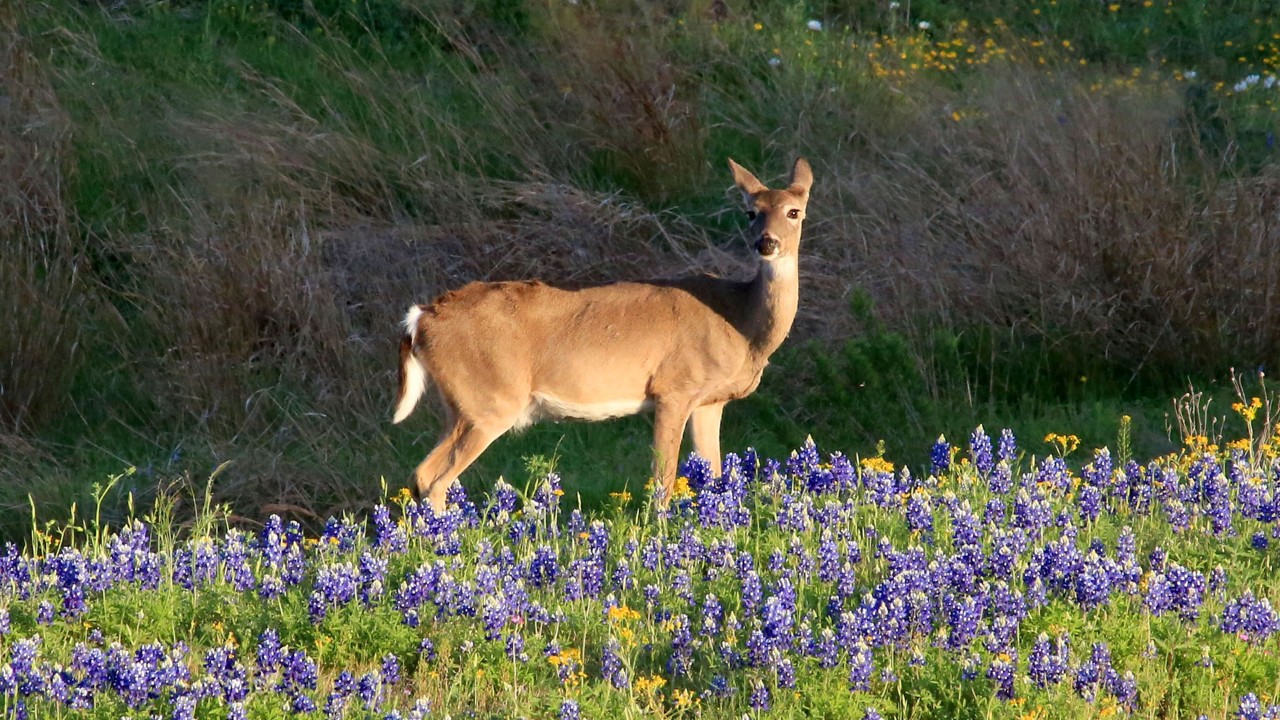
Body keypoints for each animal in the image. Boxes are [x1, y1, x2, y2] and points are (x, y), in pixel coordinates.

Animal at [391, 157, 813, 512]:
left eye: (794, 211)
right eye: (750, 212)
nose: (766, 242)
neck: (741, 323)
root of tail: (421, 319)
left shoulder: (710, 402)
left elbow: (715, 475)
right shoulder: (674, 389)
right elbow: (662, 482)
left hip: (460, 406)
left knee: (421, 475)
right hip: (489, 401)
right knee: (433, 479)